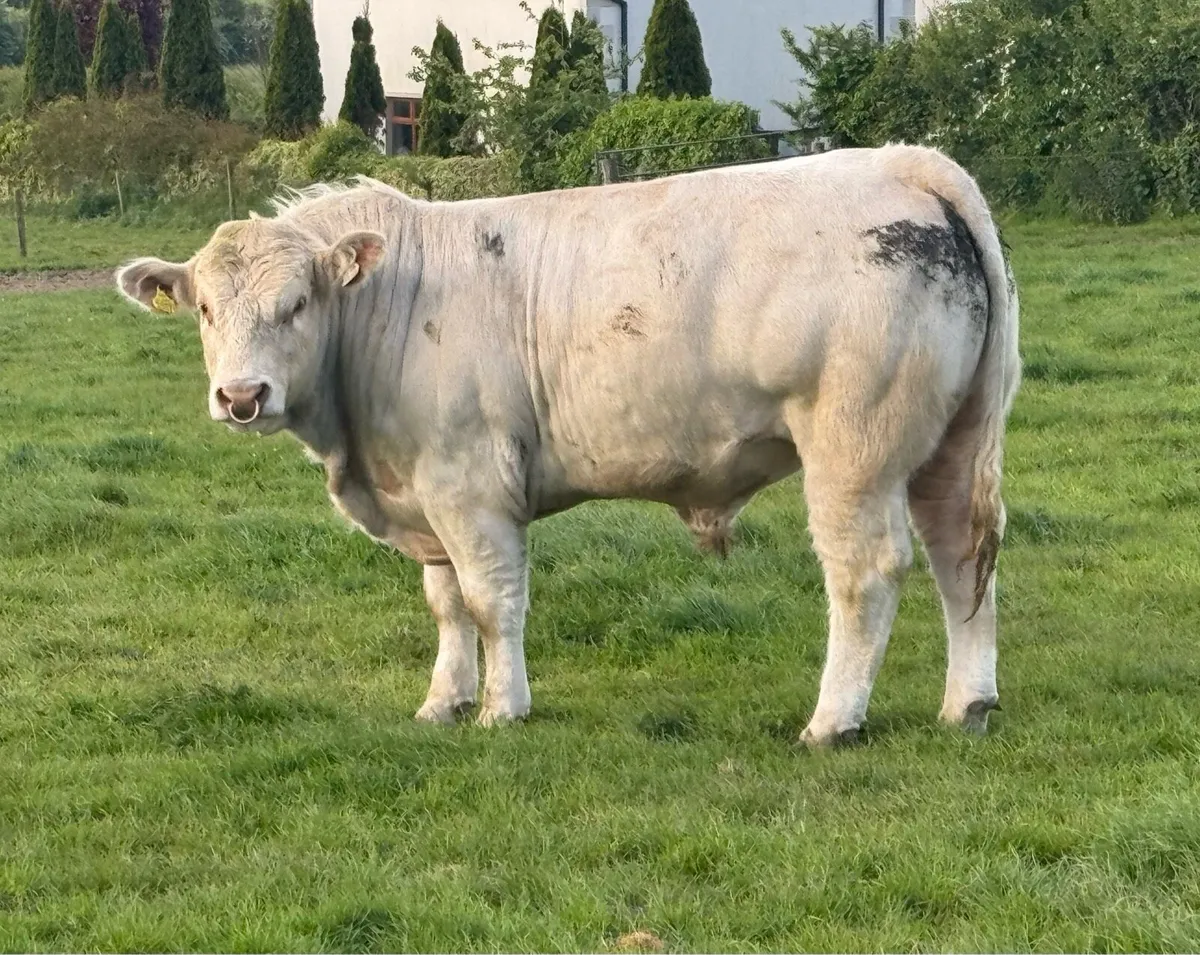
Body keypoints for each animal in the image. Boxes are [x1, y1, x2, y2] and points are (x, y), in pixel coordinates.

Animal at [115, 144, 1020, 746]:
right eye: (204, 310)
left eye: (298, 302)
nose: (242, 397)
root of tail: (905, 163)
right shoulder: (426, 491)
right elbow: (446, 604)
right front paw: (443, 701)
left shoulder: (470, 484)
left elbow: (490, 600)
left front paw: (501, 708)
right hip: (952, 439)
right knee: (960, 553)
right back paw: (968, 701)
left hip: (852, 449)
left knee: (867, 574)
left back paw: (833, 720)